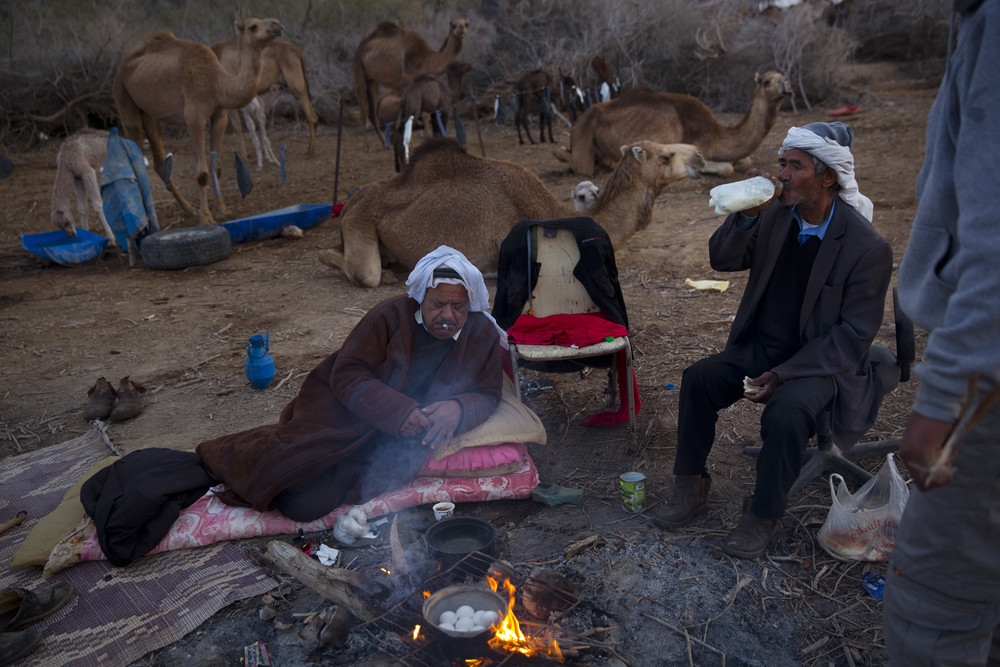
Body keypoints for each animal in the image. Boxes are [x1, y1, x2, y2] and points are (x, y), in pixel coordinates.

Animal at [115, 15, 284, 224]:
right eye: (253, 26)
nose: (277, 25)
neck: (217, 83)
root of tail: (123, 66)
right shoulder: (195, 119)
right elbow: (202, 172)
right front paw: (206, 217)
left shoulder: (220, 116)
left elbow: (216, 167)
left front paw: (222, 210)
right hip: (124, 99)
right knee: (135, 151)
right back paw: (148, 219)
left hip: (152, 115)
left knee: (159, 160)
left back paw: (189, 209)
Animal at [352, 18, 468, 151]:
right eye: (454, 25)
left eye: (466, 24)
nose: (461, 30)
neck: (426, 58)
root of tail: (361, 46)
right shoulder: (407, 81)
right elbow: (410, 113)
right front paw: (411, 144)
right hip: (358, 69)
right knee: (362, 105)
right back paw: (366, 146)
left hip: (373, 79)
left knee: (373, 111)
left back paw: (385, 143)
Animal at [556, 70, 788, 177]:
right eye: (767, 81)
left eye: (783, 77)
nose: (786, 85)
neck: (715, 133)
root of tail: (578, 122)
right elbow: (727, 168)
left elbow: (745, 161)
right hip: (584, 137)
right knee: (579, 164)